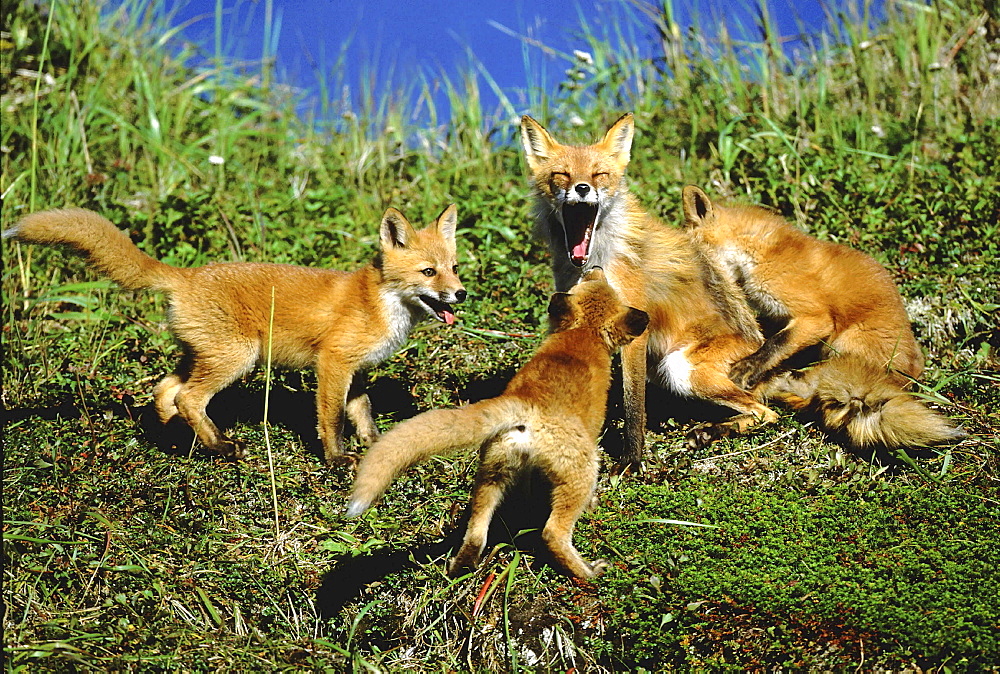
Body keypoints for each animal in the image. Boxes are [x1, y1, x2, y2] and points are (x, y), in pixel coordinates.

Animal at [3, 205, 466, 462]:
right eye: (429, 272)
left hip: (203, 355)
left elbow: (362, 412)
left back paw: (180, 439)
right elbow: (331, 419)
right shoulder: (332, 362)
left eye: (455, 267)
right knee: (188, 398)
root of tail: (185, 274)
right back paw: (221, 447)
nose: (461, 293)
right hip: (237, 357)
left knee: (165, 392)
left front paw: (374, 445)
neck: (377, 301)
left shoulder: (357, 370)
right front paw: (337, 459)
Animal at [348, 268, 652, 576]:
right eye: (603, 285)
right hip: (582, 472)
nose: (595, 268)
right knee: (552, 533)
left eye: (593, 281)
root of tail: (527, 406)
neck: (582, 336)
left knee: (476, 533)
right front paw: (593, 506)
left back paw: (462, 566)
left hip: (491, 474)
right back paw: (588, 573)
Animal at [520, 114, 776, 462]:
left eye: (599, 174)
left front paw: (631, 461)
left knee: (766, 413)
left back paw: (712, 432)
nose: (582, 188)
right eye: (562, 175)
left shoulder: (636, 322)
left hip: (680, 369)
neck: (594, 259)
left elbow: (633, 405)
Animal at [680, 184, 960, 446]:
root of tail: (911, 380)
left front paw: (748, 367)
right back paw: (714, 429)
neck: (761, 253)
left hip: (844, 342)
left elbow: (775, 344)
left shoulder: (816, 318)